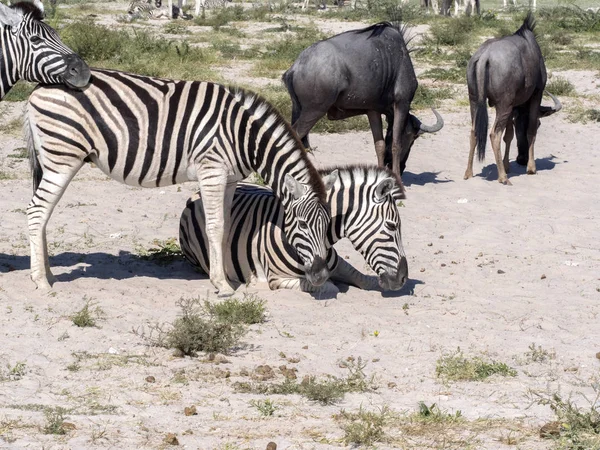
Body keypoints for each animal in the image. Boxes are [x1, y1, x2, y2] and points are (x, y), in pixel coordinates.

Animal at [25, 70, 332, 296]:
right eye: (302, 224)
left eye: (328, 226)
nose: (320, 276)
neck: (245, 135)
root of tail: (38, 88)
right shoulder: (212, 170)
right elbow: (215, 226)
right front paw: (222, 286)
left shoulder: (230, 178)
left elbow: (227, 227)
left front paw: (226, 276)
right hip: (63, 158)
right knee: (36, 212)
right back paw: (40, 281)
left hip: (54, 160)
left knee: (42, 214)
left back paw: (47, 273)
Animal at [180, 165, 410, 292]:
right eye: (392, 226)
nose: (403, 279)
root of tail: (194, 194)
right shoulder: (277, 278)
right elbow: (327, 285)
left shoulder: (337, 264)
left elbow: (362, 278)